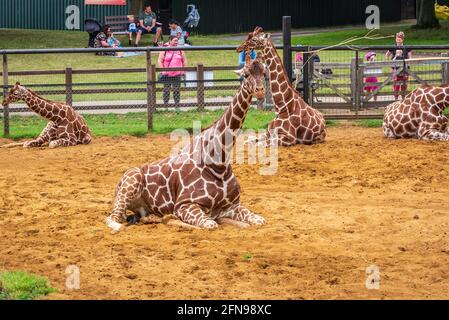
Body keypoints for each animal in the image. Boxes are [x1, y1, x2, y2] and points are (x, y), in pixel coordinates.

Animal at [105, 53, 266, 231]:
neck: (218, 162)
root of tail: (118, 183)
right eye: (246, 74)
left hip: (141, 207)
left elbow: (259, 220)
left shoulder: (231, 206)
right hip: (130, 184)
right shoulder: (184, 205)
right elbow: (210, 224)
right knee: (113, 219)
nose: (260, 91)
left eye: (264, 73)